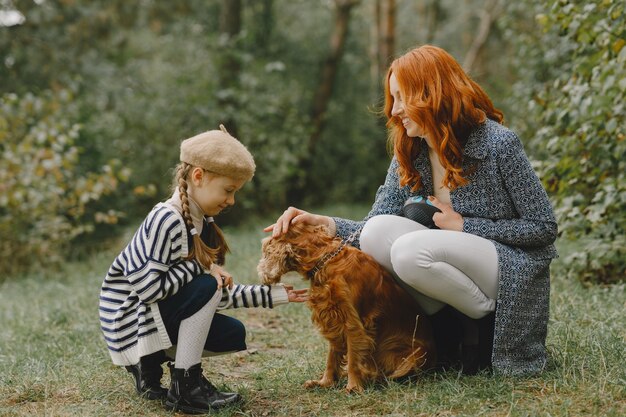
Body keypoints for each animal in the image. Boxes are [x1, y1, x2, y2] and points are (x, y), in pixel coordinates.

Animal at [258, 223, 434, 392]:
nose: (260, 271)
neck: (326, 260)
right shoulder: (333, 319)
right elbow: (332, 357)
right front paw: (325, 382)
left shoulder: (352, 322)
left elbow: (353, 359)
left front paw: (353, 387)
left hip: (415, 355)